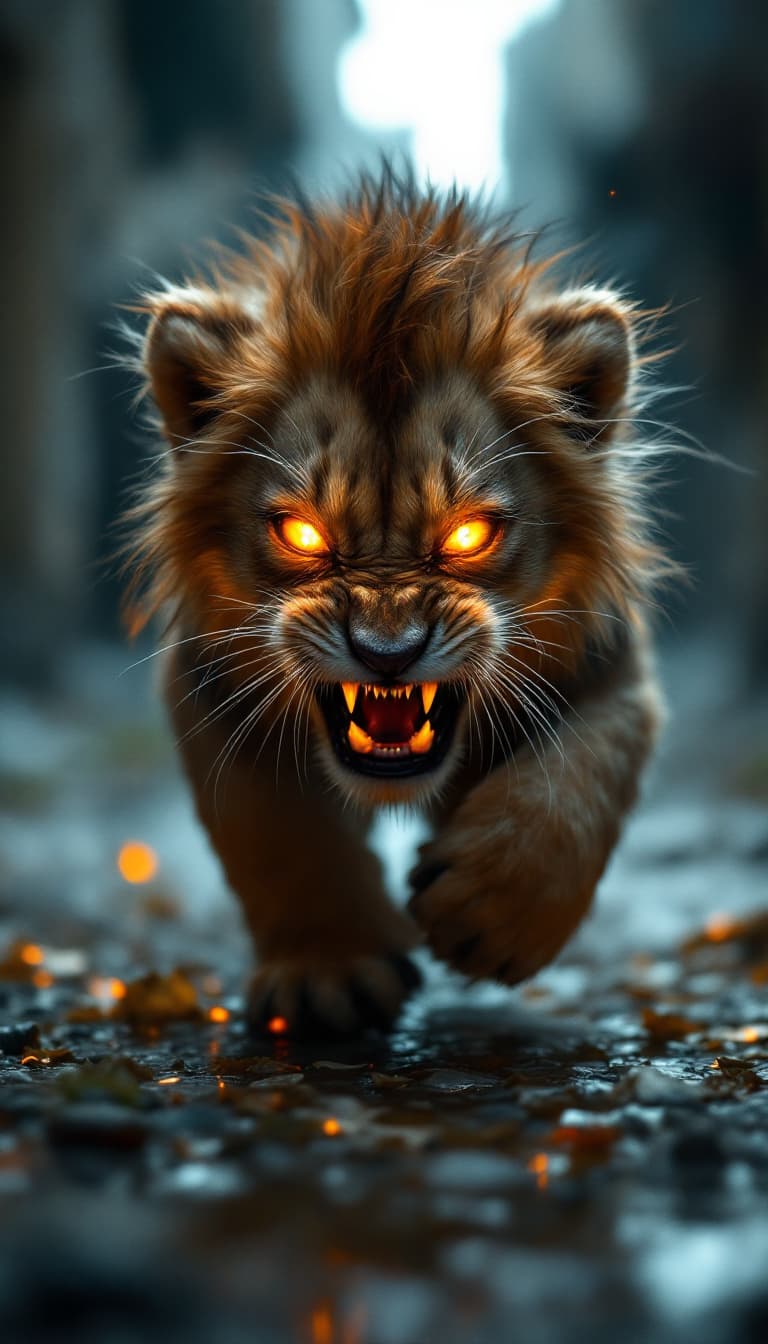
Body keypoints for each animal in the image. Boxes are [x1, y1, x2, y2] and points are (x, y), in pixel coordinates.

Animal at [123, 168, 669, 1037]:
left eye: (470, 533)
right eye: (303, 534)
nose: (387, 654)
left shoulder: (612, 665)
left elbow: (583, 772)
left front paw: (491, 913)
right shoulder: (209, 687)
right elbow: (279, 833)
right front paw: (328, 975)